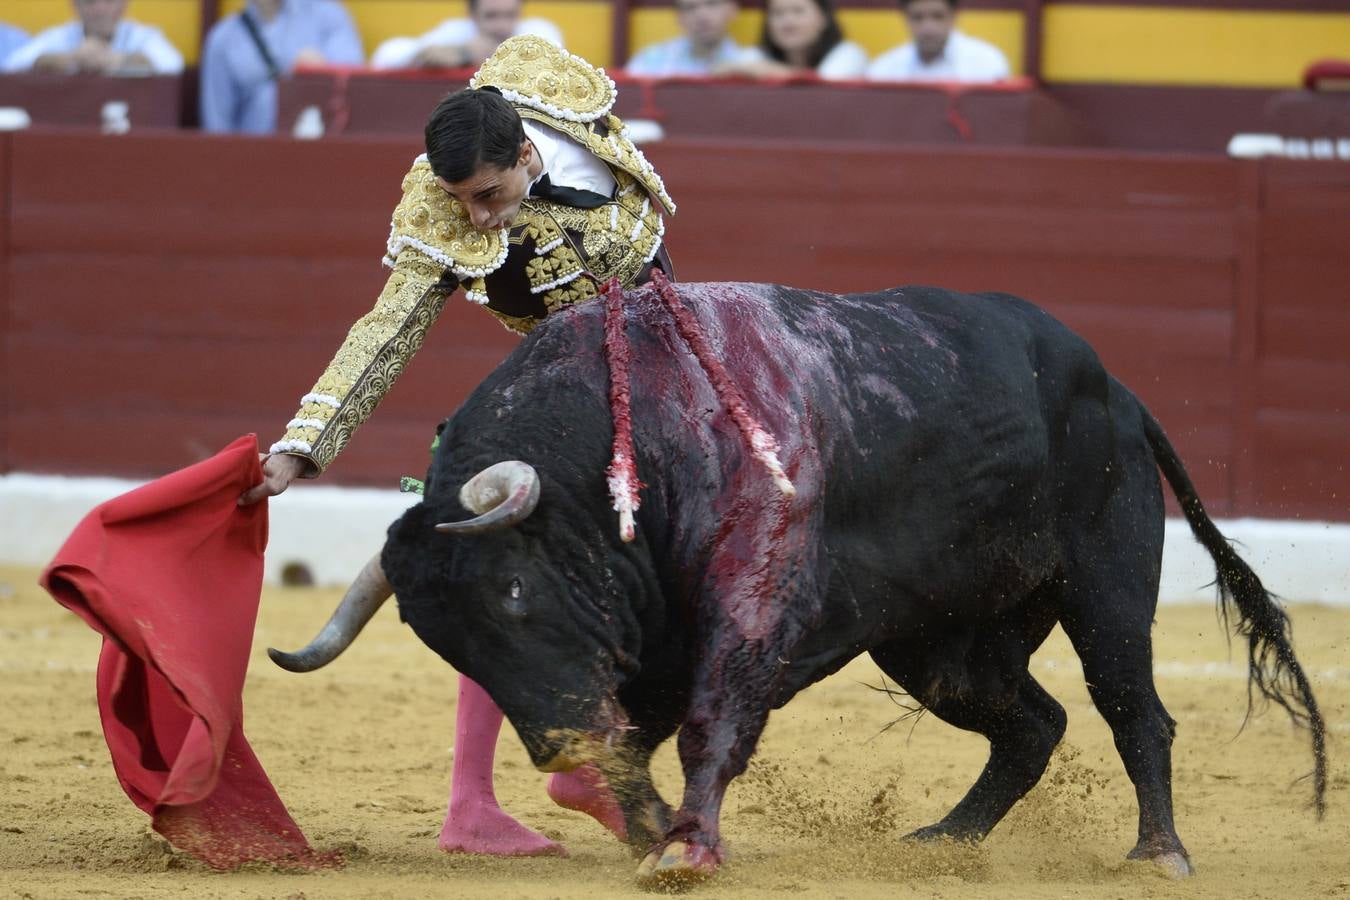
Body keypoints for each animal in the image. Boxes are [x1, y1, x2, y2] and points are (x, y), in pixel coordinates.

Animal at [271, 282, 1317, 885]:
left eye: (516, 596)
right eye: (447, 643)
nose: (559, 741)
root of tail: (1116, 387)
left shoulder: (748, 609)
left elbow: (709, 723)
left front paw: (686, 847)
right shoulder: (647, 651)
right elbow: (635, 747)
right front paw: (650, 828)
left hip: (1105, 581)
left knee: (1132, 707)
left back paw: (1159, 853)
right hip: (938, 642)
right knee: (1031, 722)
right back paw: (945, 841)